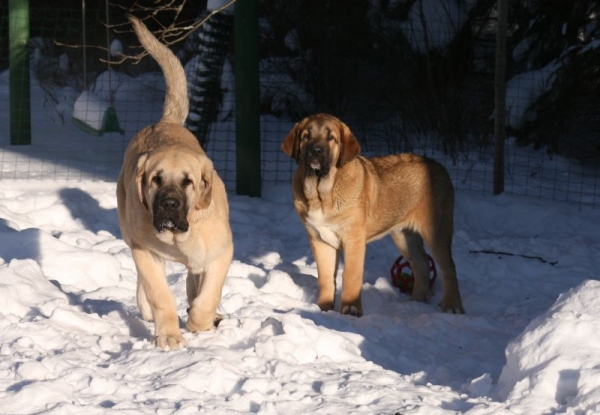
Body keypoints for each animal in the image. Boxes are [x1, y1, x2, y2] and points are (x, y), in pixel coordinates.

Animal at [116, 16, 233, 350]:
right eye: (156, 179)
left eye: (188, 182)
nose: (168, 204)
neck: (179, 236)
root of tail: (165, 122)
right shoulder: (145, 251)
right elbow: (160, 294)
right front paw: (168, 334)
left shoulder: (221, 252)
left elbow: (207, 295)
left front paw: (200, 320)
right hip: (130, 234)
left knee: (196, 282)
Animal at [282, 114, 464, 318]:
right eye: (306, 136)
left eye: (331, 138)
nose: (316, 151)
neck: (321, 194)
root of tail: (439, 166)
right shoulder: (320, 240)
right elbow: (326, 277)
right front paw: (323, 309)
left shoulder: (353, 239)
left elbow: (351, 275)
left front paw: (350, 310)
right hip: (403, 236)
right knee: (422, 264)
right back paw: (415, 302)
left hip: (436, 229)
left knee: (448, 268)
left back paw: (452, 306)